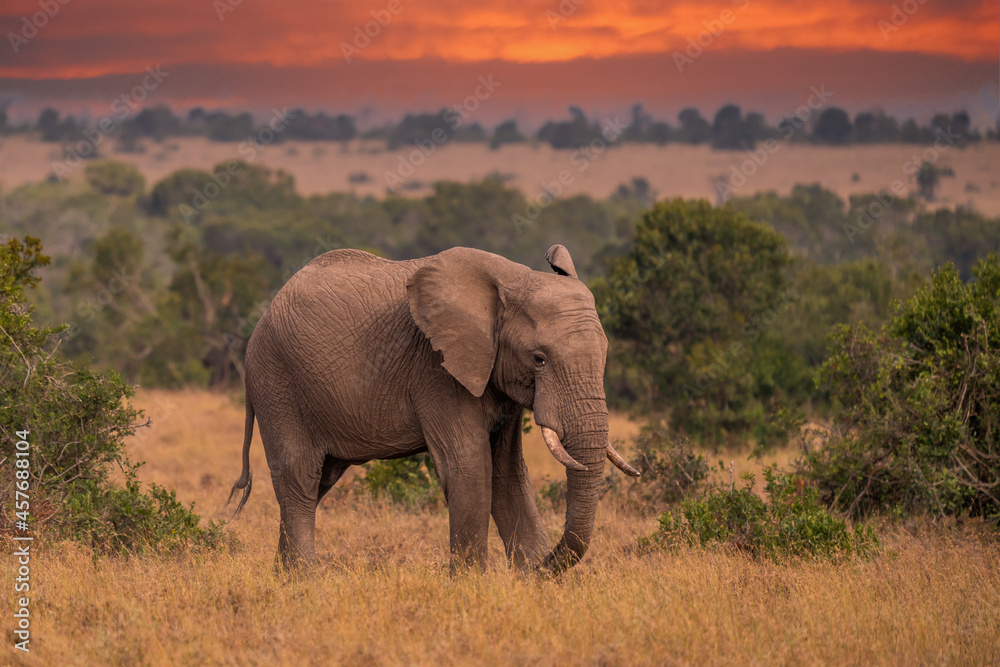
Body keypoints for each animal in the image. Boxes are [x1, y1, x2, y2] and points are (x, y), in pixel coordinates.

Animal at [228, 244, 638, 573]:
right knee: (299, 479)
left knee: (317, 485)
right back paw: (304, 582)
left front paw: (533, 581)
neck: (511, 281)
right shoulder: (437, 369)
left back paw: (282, 578)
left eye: (605, 353)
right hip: (277, 383)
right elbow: (470, 468)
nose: (542, 566)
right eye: (538, 359)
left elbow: (507, 475)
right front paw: (475, 587)